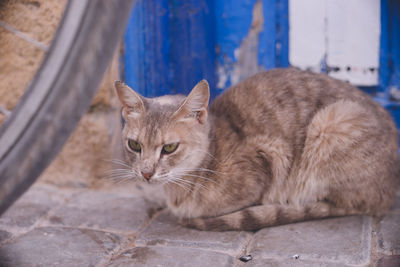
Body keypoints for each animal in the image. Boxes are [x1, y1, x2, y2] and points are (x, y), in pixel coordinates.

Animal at [114, 69, 398, 232]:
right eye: (135, 145)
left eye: (169, 147)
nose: (146, 173)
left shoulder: (271, 155)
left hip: (331, 124)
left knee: (345, 204)